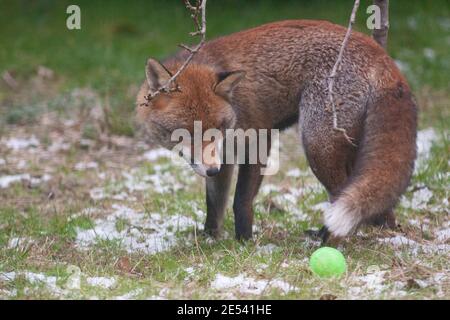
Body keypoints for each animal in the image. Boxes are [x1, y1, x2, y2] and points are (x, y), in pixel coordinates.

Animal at [135, 20, 416, 242]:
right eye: (187, 132)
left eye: (218, 128)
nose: (211, 170)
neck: (235, 106)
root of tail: (381, 54)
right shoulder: (223, 157)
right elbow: (215, 203)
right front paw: (209, 239)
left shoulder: (259, 137)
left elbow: (241, 200)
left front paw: (244, 241)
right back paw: (381, 230)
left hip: (318, 146)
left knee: (341, 193)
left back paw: (329, 241)